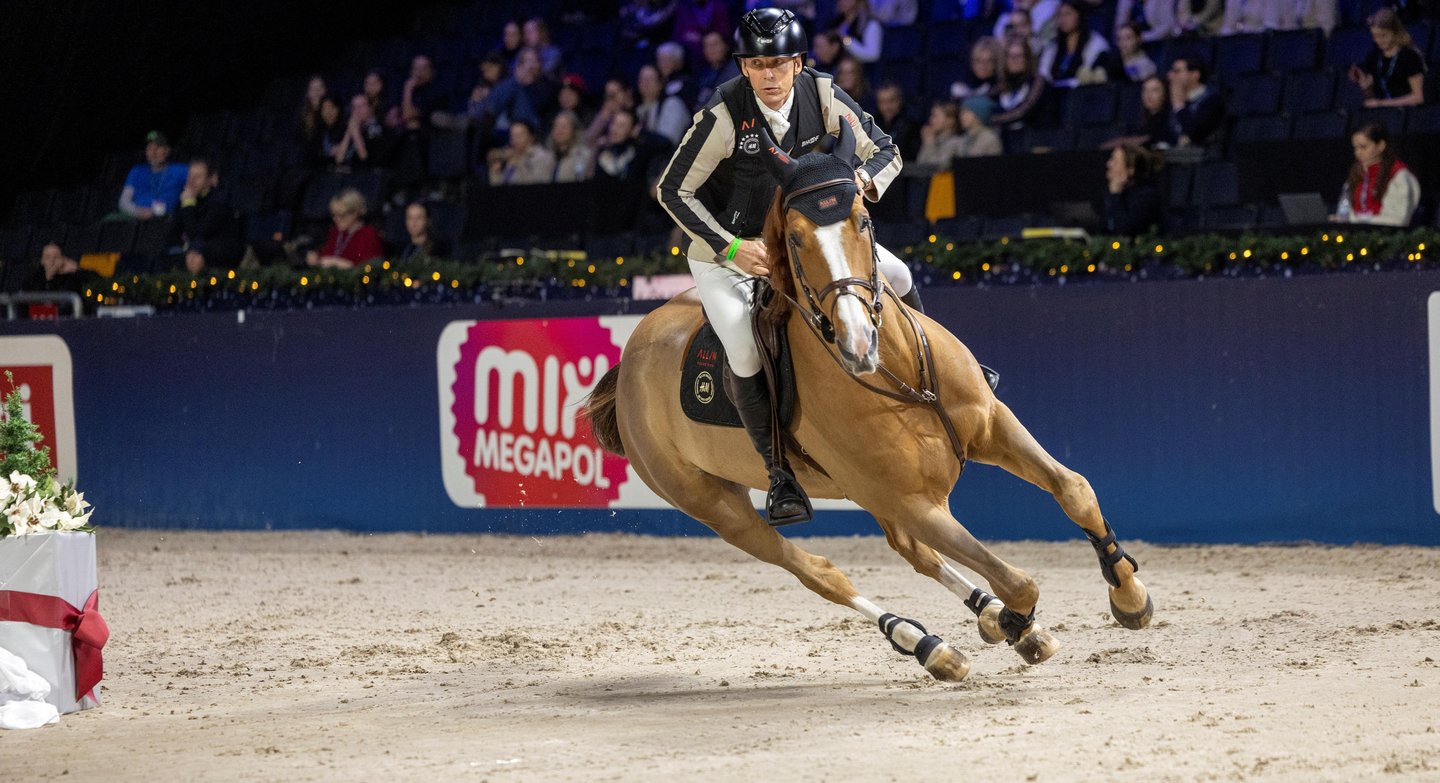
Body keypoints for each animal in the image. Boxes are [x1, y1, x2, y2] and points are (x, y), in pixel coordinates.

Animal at [582, 122, 1152, 681]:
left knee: (914, 553)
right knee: (820, 572)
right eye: (795, 237)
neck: (899, 378)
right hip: (718, 507)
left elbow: (1074, 489)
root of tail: (630, 361)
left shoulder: (992, 427)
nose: (858, 344)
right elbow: (1018, 581)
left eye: (862, 219)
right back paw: (930, 645)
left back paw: (981, 620)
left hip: (869, 494)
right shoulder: (912, 501)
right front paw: (1018, 620)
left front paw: (1128, 596)